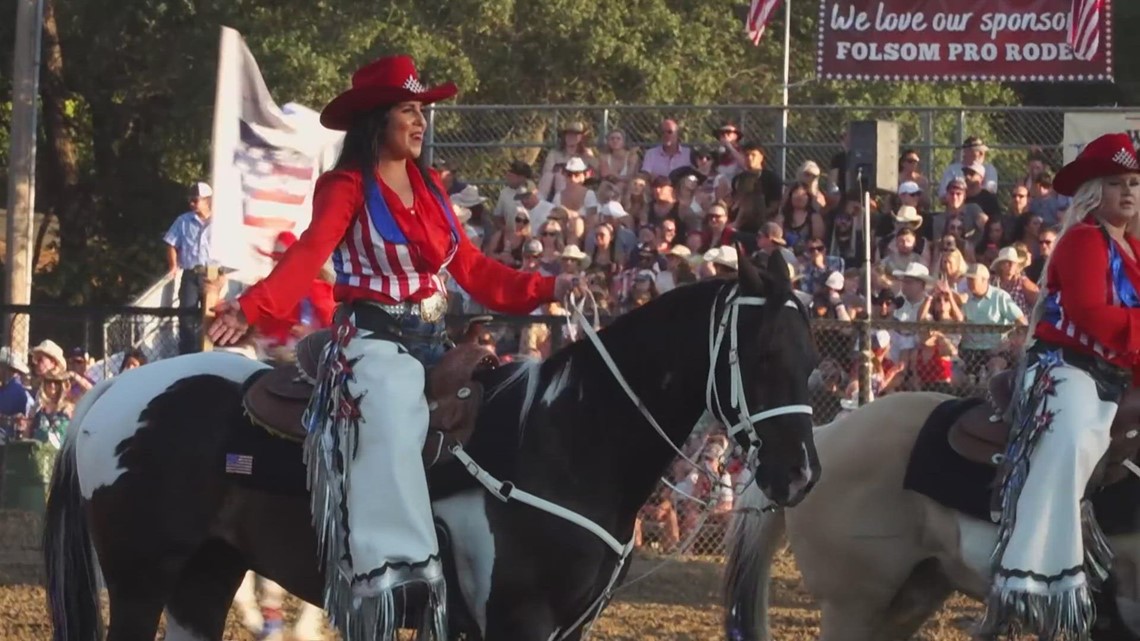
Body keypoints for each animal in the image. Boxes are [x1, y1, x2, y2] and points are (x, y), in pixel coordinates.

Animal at [42, 248, 820, 638]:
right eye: (764, 355)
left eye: (812, 356)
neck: (566, 437)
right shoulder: (517, 621)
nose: (799, 475)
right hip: (141, 580)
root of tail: (112, 394)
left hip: (204, 577)